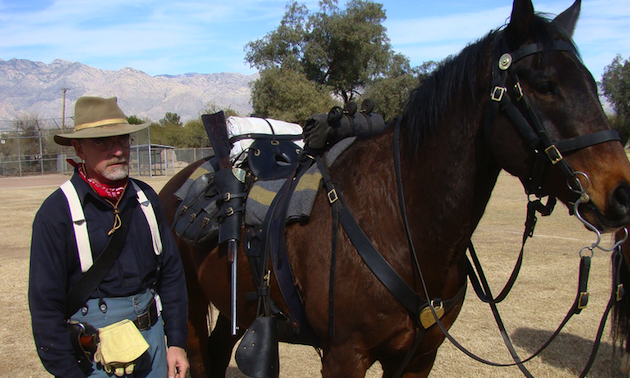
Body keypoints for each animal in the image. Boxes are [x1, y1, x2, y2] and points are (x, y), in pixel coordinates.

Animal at [159, 1, 630, 376]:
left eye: (593, 83)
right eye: (545, 85)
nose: (621, 194)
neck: (401, 223)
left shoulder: (419, 356)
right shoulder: (344, 356)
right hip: (191, 310)